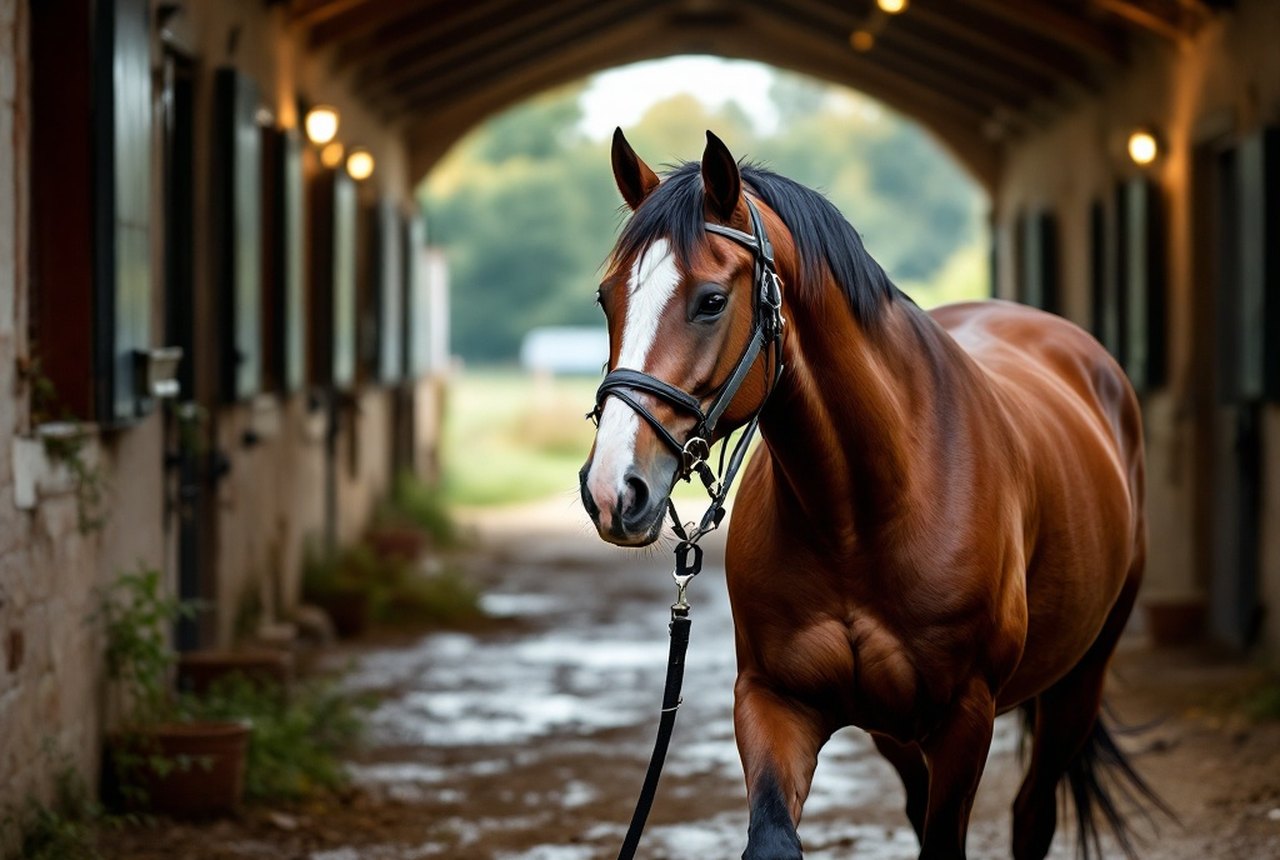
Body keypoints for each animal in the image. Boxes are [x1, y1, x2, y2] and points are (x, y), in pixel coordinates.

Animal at [579, 128, 1163, 859]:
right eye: (607, 299)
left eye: (711, 300)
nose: (612, 491)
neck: (859, 512)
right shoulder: (774, 701)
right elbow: (773, 837)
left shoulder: (965, 718)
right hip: (897, 730)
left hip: (1077, 685)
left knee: (1033, 812)